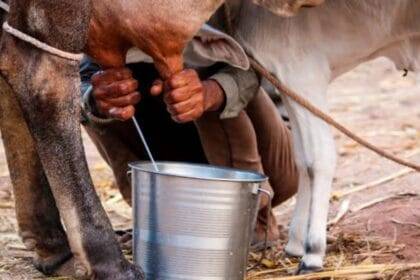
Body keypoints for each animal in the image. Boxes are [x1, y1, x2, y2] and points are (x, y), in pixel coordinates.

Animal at [228, 0, 420, 274]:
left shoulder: (303, 75)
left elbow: (319, 160)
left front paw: (313, 252)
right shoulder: (288, 84)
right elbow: (302, 160)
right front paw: (296, 243)